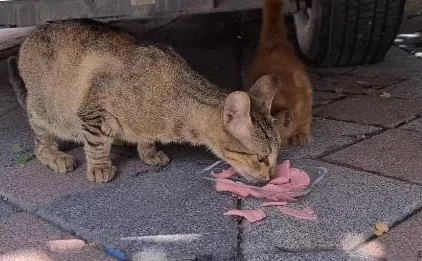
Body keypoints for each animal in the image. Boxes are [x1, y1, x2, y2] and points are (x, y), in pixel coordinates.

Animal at [8, 20, 280, 182]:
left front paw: (148, 152)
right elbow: (96, 144)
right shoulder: (94, 110)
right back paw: (55, 156)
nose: (271, 176)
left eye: (275, 157)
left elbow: (146, 137)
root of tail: (30, 35)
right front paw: (99, 167)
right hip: (44, 112)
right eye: (261, 158)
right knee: (40, 142)